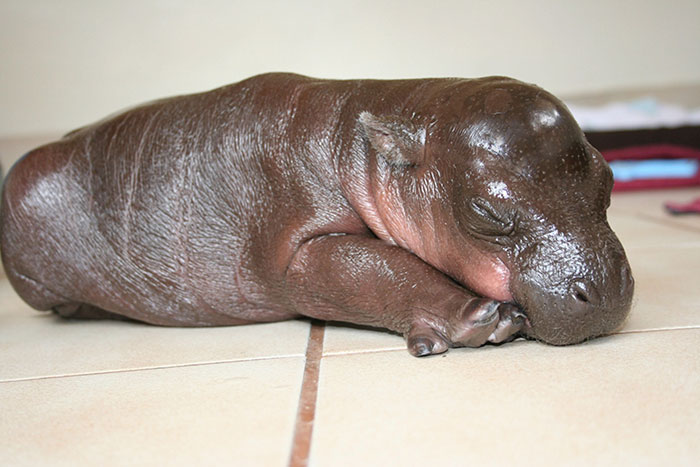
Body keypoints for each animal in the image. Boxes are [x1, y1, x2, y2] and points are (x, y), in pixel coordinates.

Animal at [0, 73, 633, 356]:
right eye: (486, 212)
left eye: (607, 179)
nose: (603, 288)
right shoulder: (297, 249)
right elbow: (367, 269)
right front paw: (484, 320)